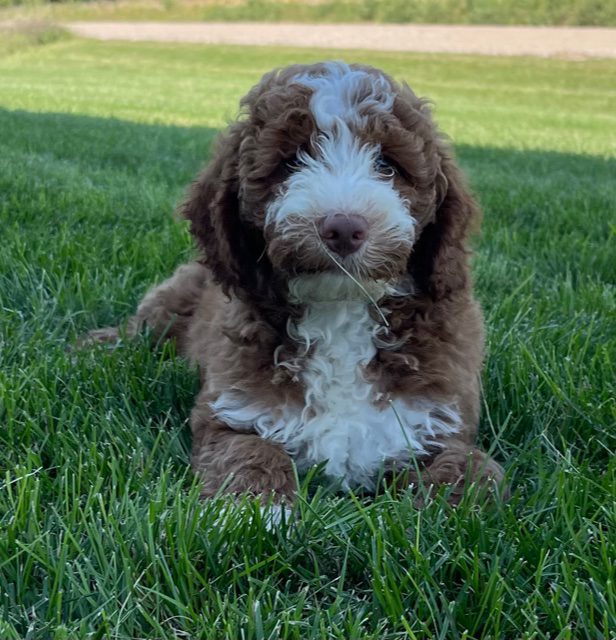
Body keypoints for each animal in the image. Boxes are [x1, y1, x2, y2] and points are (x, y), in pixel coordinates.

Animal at [86, 62, 506, 508]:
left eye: (387, 165)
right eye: (290, 163)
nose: (343, 228)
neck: (339, 310)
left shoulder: (440, 417)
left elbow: (474, 473)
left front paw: (437, 504)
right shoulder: (231, 411)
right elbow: (248, 450)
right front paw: (258, 508)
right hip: (172, 305)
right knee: (138, 330)